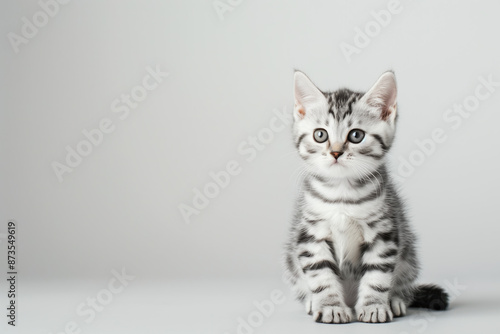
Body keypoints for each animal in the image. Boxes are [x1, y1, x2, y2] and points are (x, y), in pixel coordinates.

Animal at [286, 70, 450, 324]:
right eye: (320, 135)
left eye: (356, 135)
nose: (335, 152)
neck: (342, 193)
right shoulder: (311, 235)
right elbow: (321, 275)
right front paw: (331, 307)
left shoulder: (383, 232)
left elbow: (377, 275)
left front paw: (374, 306)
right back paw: (313, 302)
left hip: (409, 256)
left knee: (404, 283)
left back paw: (395, 300)